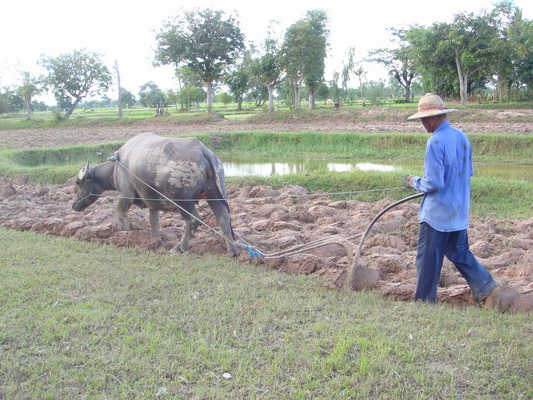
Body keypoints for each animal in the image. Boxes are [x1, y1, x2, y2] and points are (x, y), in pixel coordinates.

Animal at [72, 131, 237, 256]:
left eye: (78, 183)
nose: (74, 205)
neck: (116, 167)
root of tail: (203, 151)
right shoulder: (152, 202)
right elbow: (153, 221)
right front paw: (156, 240)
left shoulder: (126, 196)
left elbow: (119, 213)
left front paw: (132, 227)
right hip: (214, 194)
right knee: (223, 218)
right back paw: (232, 251)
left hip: (183, 202)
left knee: (193, 221)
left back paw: (179, 247)